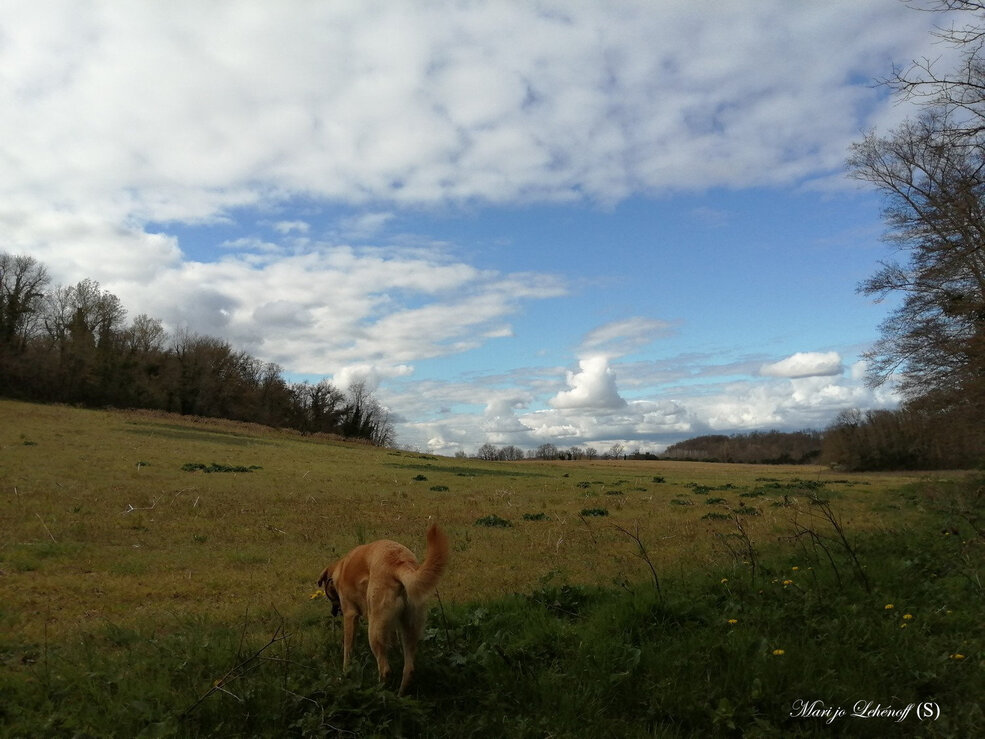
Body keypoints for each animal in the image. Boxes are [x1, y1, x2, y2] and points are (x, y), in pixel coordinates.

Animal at [320, 520, 450, 692]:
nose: (333, 612)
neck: (340, 569)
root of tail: (399, 564)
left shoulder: (350, 614)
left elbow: (348, 647)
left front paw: (345, 671)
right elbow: (393, 643)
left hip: (374, 628)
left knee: (385, 668)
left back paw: (379, 689)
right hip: (409, 627)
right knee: (409, 668)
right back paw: (400, 694)